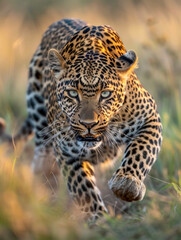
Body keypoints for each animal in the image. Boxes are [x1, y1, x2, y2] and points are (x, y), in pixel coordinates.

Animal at [0, 18, 163, 221]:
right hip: (36, 106)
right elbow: (83, 188)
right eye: (72, 93)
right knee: (41, 155)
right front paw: (99, 220)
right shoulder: (65, 151)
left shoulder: (150, 117)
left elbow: (141, 150)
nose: (88, 124)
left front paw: (127, 184)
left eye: (105, 94)